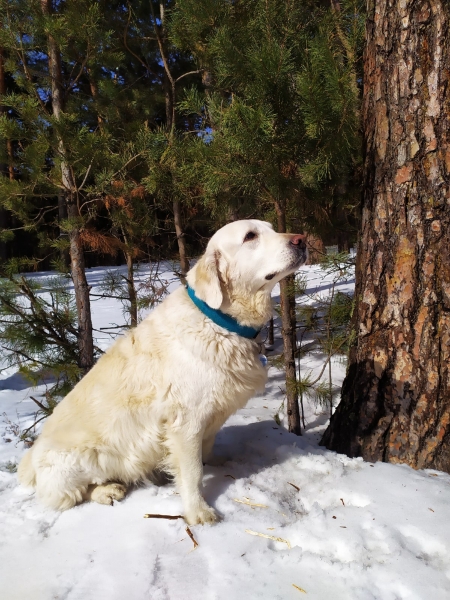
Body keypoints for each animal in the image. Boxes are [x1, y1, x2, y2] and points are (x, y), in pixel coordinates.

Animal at [16, 220, 306, 524]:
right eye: (250, 236)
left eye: (271, 228)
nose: (302, 240)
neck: (220, 322)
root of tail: (30, 459)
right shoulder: (186, 422)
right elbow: (192, 472)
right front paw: (198, 511)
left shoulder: (212, 415)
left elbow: (207, 449)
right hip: (81, 460)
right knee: (73, 494)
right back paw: (106, 490)